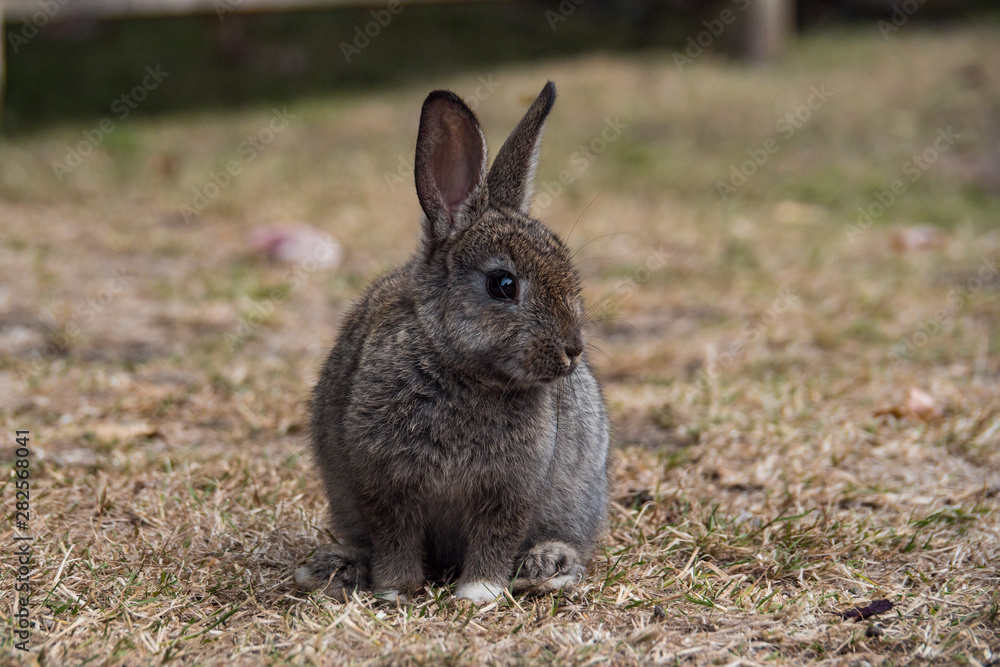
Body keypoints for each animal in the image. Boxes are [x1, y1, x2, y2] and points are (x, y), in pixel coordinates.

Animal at [294, 82, 610, 605]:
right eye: (503, 285)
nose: (572, 351)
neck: (462, 368)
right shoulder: (385, 485)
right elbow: (396, 537)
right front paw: (396, 591)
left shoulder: (511, 490)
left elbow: (495, 536)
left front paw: (478, 594)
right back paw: (336, 569)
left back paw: (545, 566)